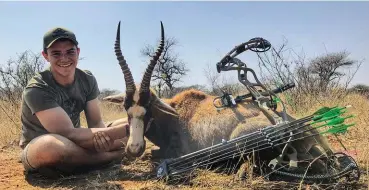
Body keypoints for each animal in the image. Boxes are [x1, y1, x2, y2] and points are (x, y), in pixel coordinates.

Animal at [104, 20, 334, 174]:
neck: (176, 112)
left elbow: (154, 153)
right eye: (126, 107)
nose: (134, 148)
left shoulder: (175, 151)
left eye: (149, 108)